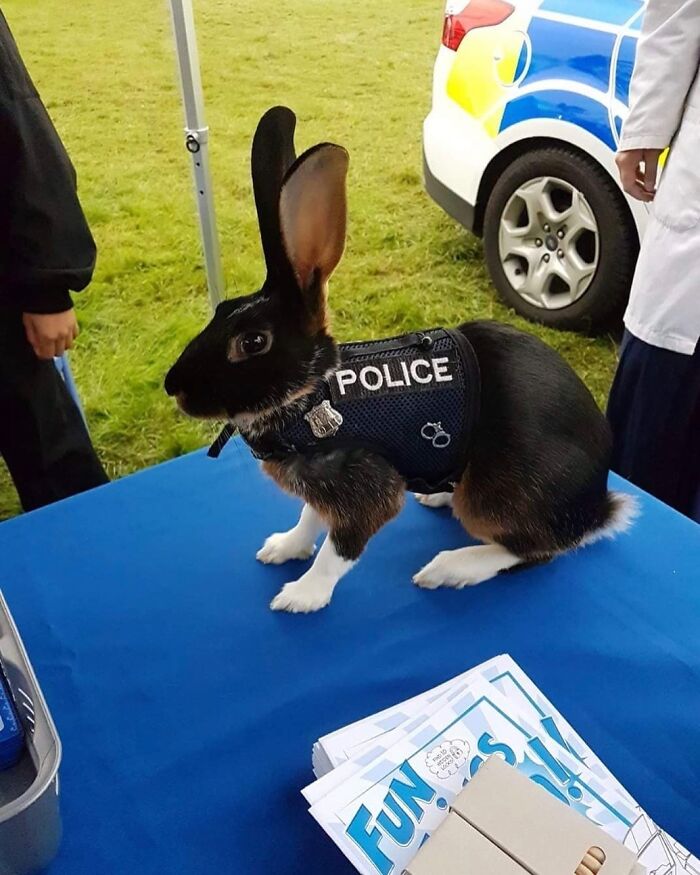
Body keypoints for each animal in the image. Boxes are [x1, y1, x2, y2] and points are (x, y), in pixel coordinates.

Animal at [163, 106, 636, 616]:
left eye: (252, 342)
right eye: (220, 310)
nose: (173, 387)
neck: (313, 395)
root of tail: (596, 506)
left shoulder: (365, 487)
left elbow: (338, 549)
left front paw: (301, 596)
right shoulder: (324, 489)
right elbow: (310, 517)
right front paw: (282, 547)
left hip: (501, 496)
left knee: (534, 549)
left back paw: (449, 569)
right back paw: (437, 499)